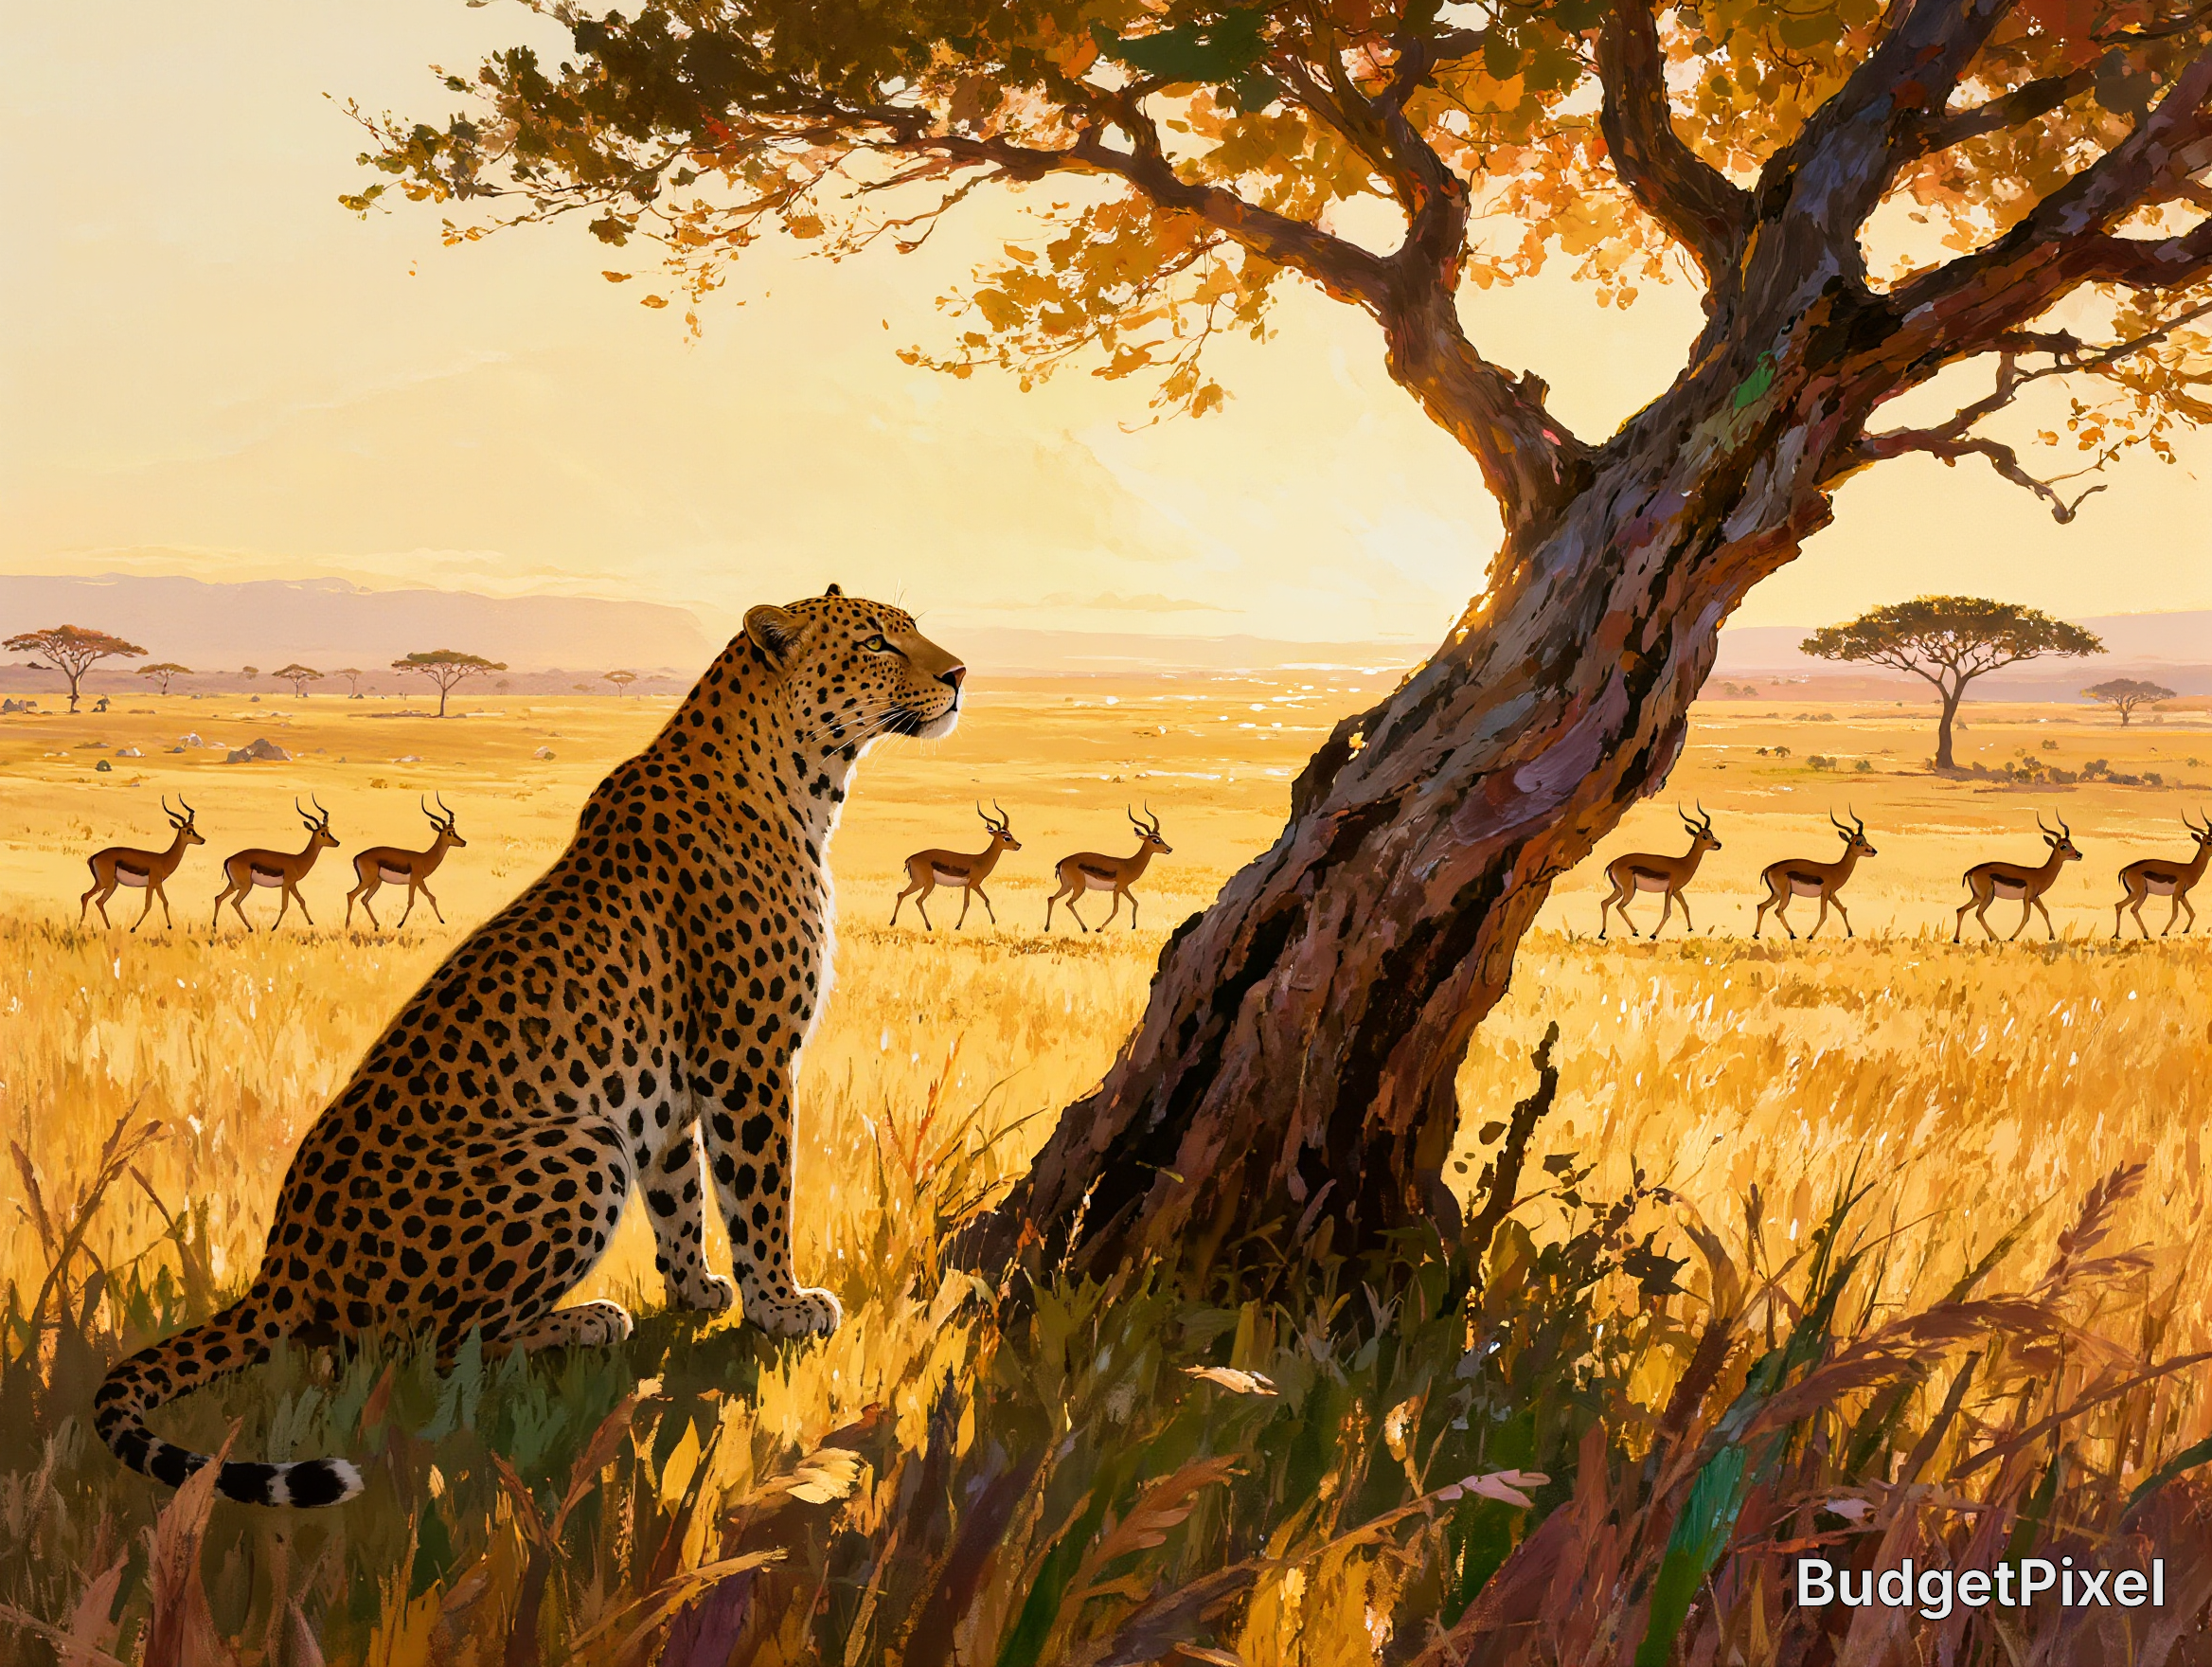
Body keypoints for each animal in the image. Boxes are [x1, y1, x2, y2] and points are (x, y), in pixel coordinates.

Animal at [95, 587, 965, 1506]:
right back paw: (585, 1321)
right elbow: (759, 1193)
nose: (958, 674)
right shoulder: (747, 1058)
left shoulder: (673, 1086)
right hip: (582, 1147)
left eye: (910, 631)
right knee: (428, 1352)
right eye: (876, 643)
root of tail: (280, 1267)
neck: (804, 781)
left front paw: (698, 1290)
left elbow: (681, 1193)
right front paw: (783, 1306)